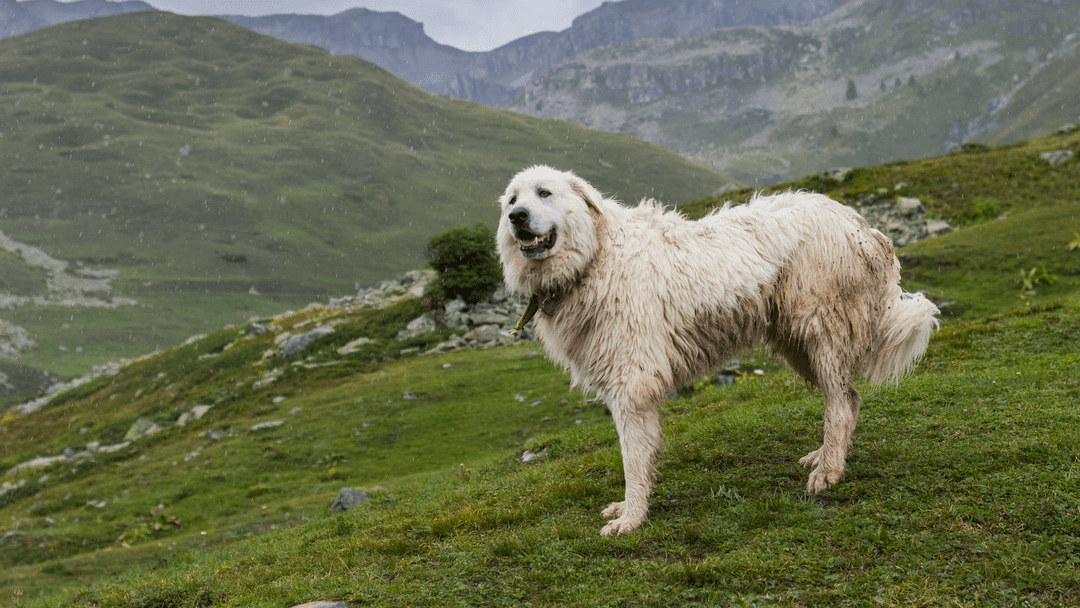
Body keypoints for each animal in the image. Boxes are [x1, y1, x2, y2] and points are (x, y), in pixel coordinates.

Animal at [494, 164, 937, 535]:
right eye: (513, 200)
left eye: (544, 192)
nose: (518, 217)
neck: (595, 257)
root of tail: (859, 223)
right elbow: (640, 457)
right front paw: (628, 510)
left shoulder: (632, 385)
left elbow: (632, 459)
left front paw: (631, 518)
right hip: (798, 344)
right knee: (849, 397)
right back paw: (826, 456)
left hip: (821, 330)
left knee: (840, 404)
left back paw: (829, 472)